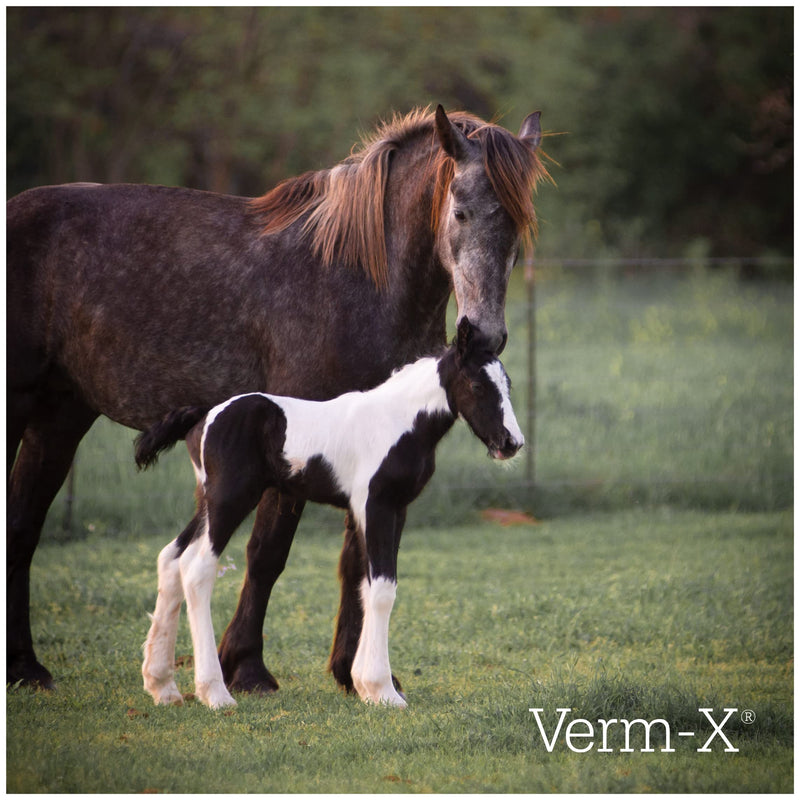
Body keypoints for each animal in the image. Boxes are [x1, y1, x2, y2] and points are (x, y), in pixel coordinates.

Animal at [135, 318, 523, 709]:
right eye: (476, 385)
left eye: (507, 385)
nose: (512, 443)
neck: (397, 421)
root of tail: (205, 415)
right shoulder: (376, 505)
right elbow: (382, 588)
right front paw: (383, 690)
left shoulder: (395, 509)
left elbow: (367, 584)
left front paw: (365, 685)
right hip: (230, 500)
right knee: (197, 567)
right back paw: (215, 693)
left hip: (208, 501)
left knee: (171, 557)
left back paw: (162, 686)